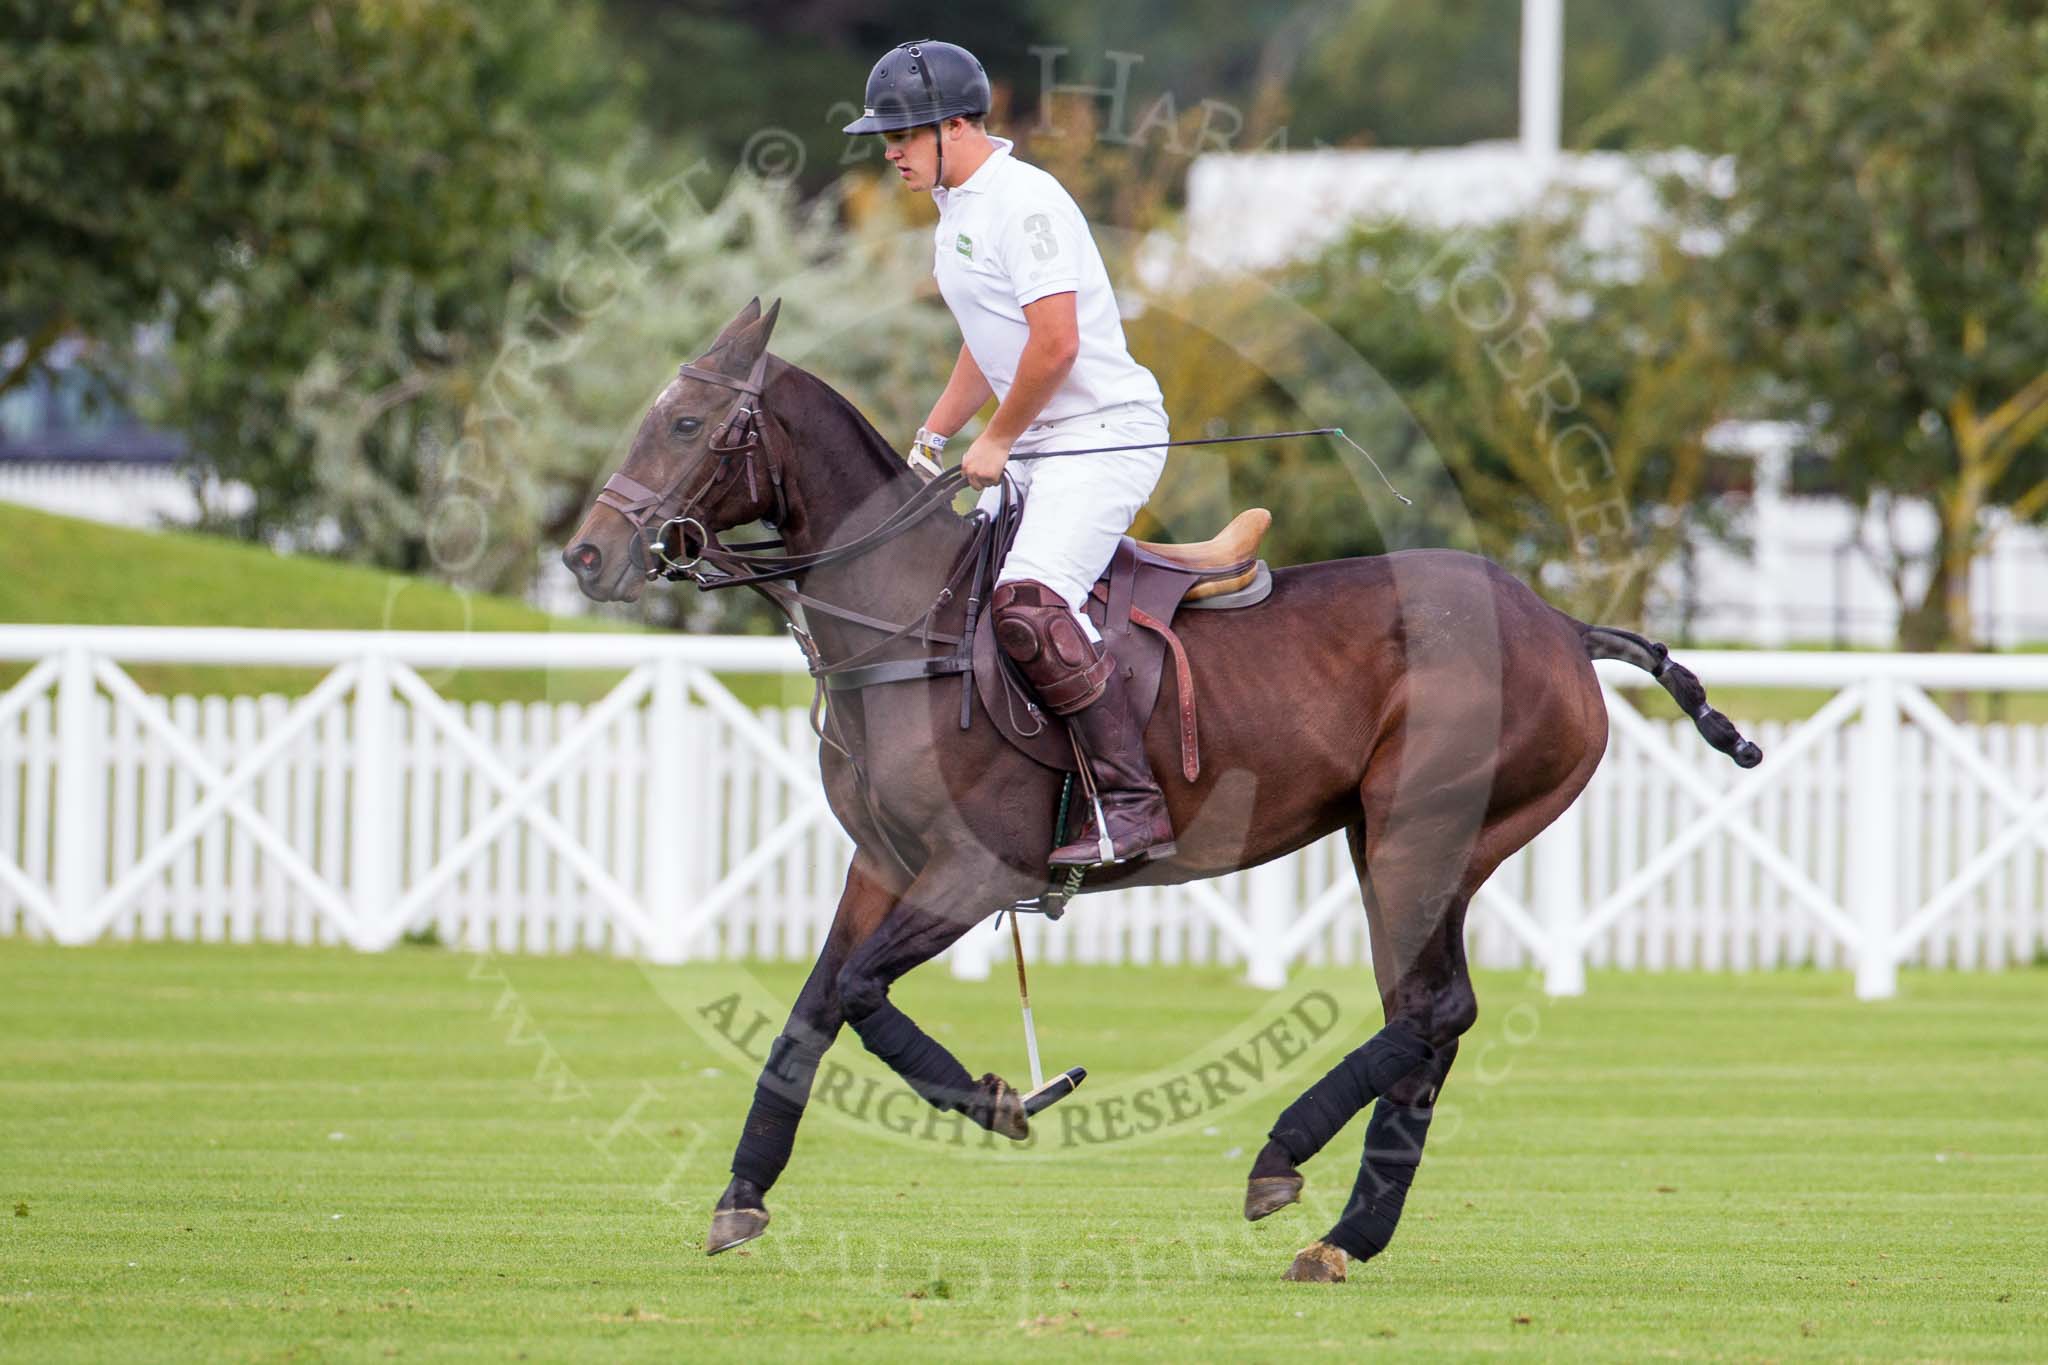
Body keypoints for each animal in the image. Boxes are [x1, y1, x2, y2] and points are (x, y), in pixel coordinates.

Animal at [561, 296, 1761, 1285]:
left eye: (686, 424)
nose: (585, 557)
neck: (907, 621)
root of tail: (1560, 623)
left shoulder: (971, 870)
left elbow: (857, 992)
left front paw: (1004, 1101)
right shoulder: (882, 865)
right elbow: (809, 1015)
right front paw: (739, 1196)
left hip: (1424, 831)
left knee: (1436, 1010)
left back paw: (1280, 1159)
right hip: (1396, 842)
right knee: (1427, 1020)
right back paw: (1345, 1235)